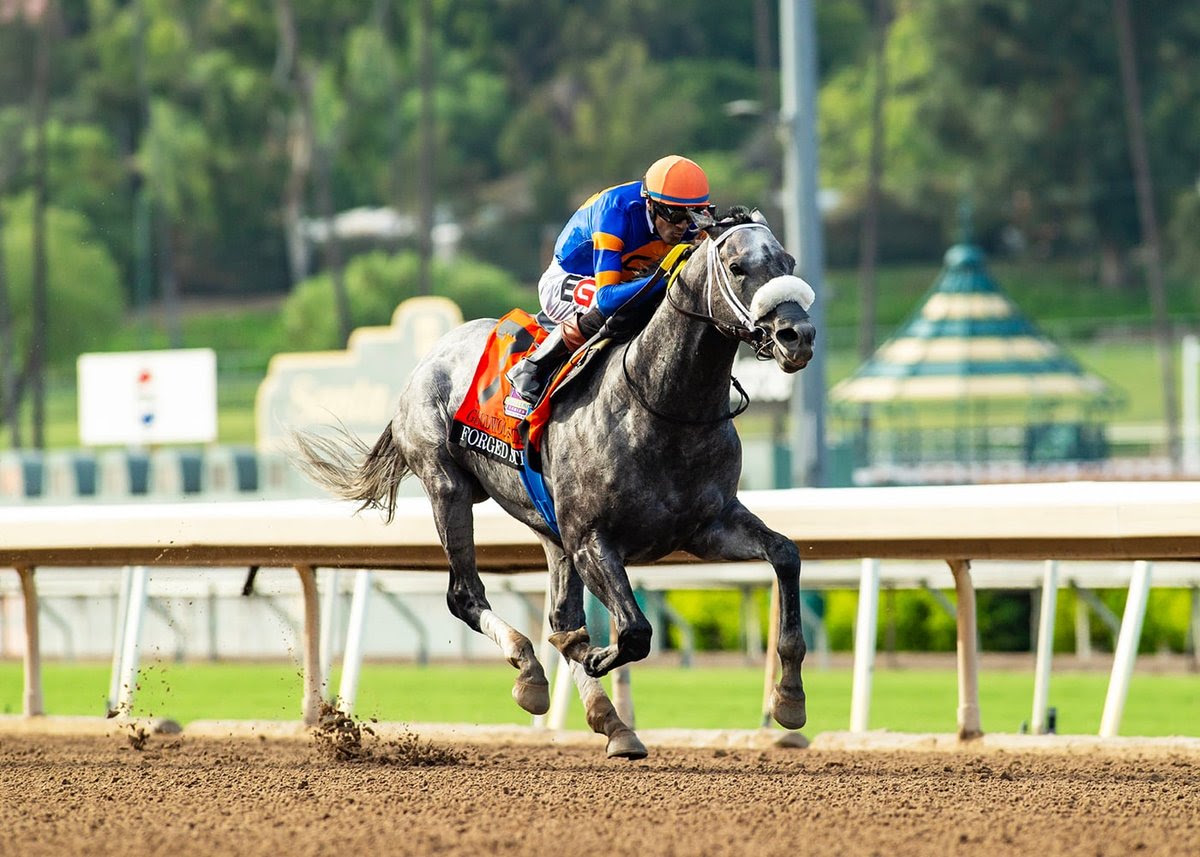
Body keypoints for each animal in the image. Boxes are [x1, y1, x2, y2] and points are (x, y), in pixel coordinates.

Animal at [293, 209, 816, 759]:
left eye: (789, 262)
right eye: (737, 266)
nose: (797, 336)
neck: (663, 406)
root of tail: (432, 355)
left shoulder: (707, 527)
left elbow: (785, 555)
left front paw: (789, 699)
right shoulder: (591, 538)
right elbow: (633, 632)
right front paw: (596, 658)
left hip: (549, 528)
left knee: (561, 620)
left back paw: (612, 722)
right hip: (447, 486)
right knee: (465, 594)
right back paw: (529, 673)